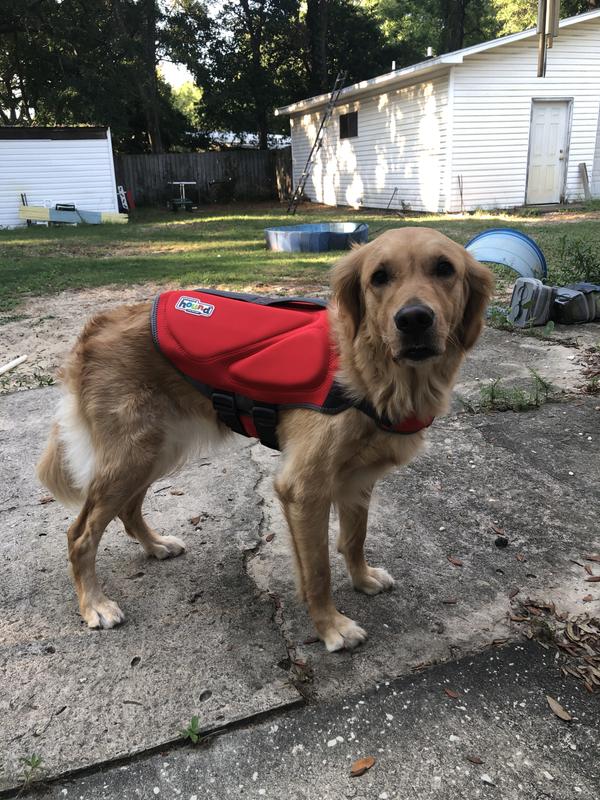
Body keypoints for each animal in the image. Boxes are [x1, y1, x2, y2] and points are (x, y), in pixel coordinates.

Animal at [37, 228, 492, 652]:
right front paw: (332, 627)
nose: (413, 319)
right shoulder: (304, 489)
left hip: (155, 451)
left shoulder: (357, 478)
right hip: (133, 455)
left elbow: (354, 538)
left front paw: (362, 579)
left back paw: (155, 545)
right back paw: (94, 604)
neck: (373, 373)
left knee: (129, 509)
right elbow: (318, 570)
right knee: (80, 534)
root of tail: (96, 327)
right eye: (379, 277)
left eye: (444, 269)